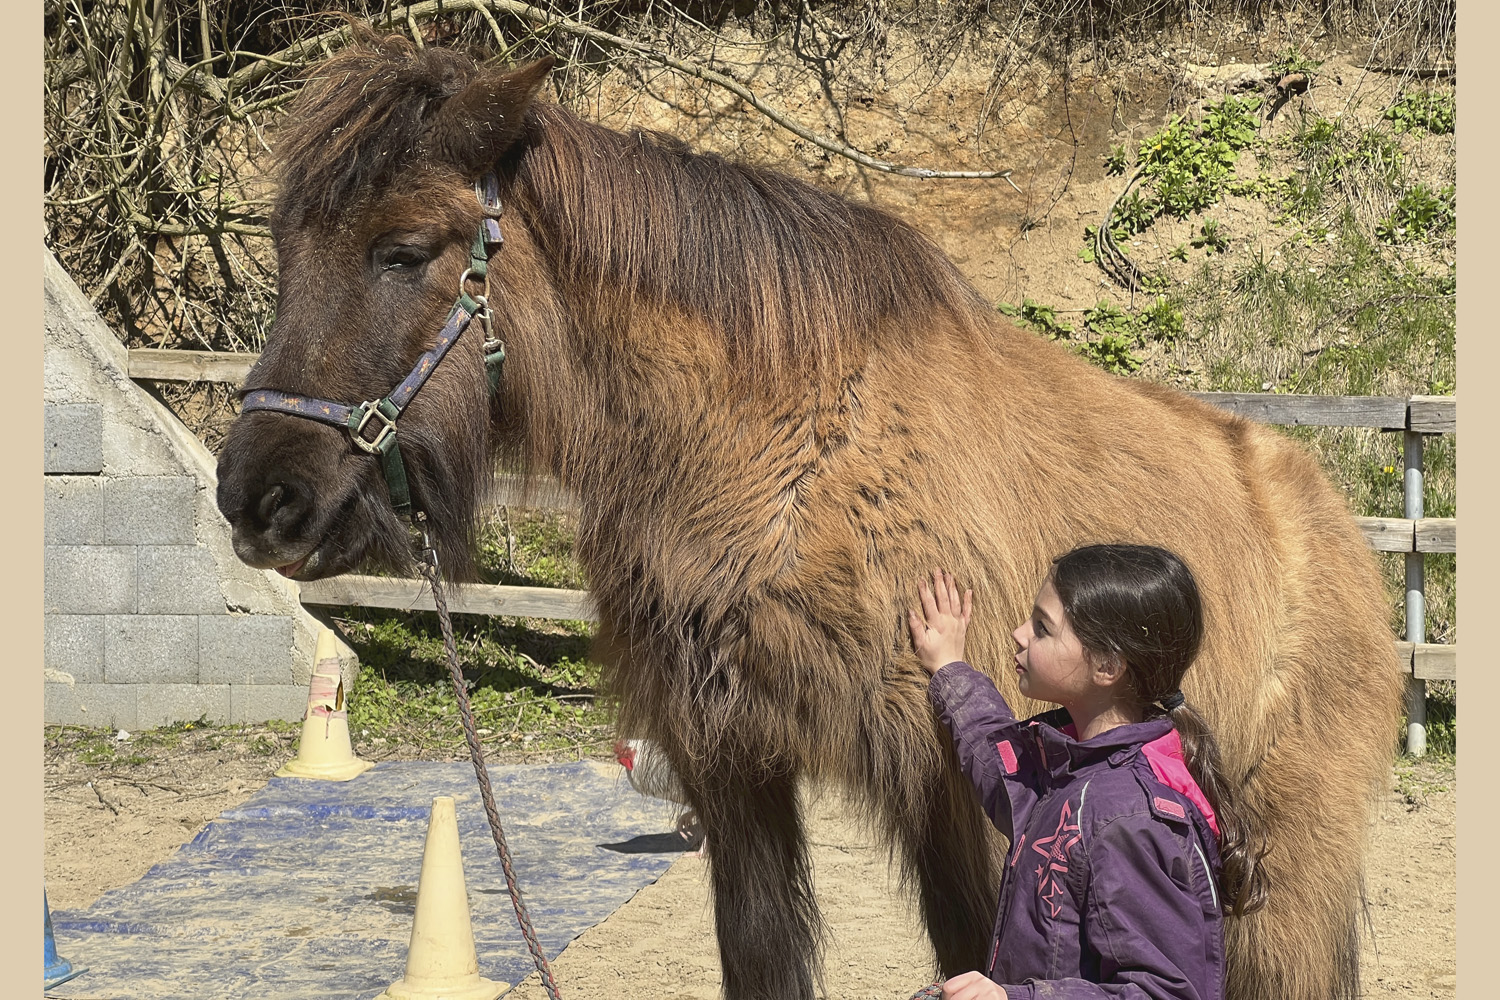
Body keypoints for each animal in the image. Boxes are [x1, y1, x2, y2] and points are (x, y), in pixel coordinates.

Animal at [215, 30, 1404, 1000]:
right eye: (284, 247)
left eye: (404, 249)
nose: (256, 497)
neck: (777, 455)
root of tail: (1335, 528)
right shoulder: (733, 770)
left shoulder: (959, 795)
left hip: (1288, 877)